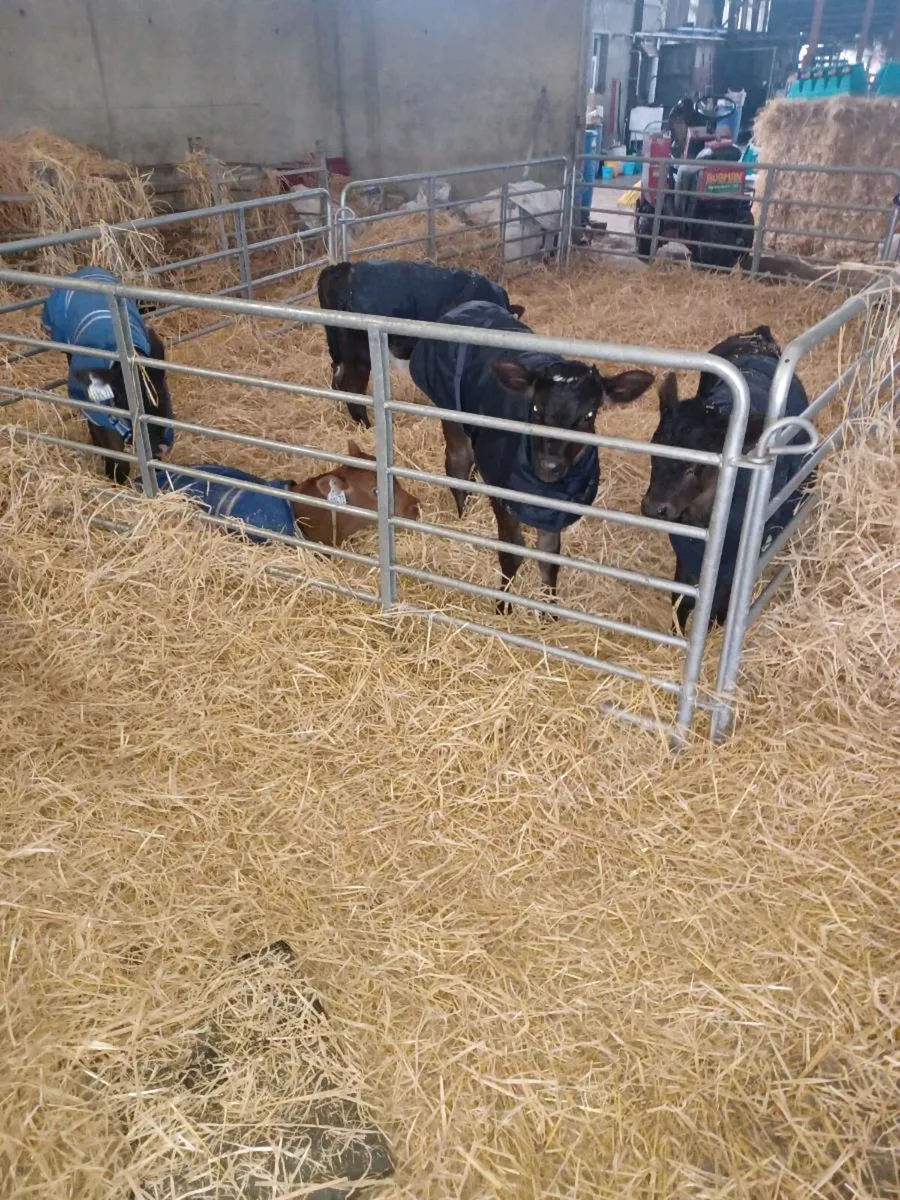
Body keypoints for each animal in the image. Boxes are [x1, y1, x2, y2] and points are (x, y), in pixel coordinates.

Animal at [41, 266, 173, 486]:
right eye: (120, 395)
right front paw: (115, 479)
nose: (161, 446)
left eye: (162, 386)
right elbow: (116, 455)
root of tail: (85, 269)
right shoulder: (94, 410)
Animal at [408, 300, 654, 611]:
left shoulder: (554, 510)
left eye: (588, 415)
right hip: (451, 415)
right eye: (535, 409)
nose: (550, 465)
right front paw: (503, 605)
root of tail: (468, 305)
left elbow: (549, 557)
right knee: (458, 466)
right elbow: (512, 551)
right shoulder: (504, 496)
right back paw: (463, 517)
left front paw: (549, 611)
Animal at [640, 325, 814, 632]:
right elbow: (682, 596)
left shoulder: (736, 558)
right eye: (655, 451)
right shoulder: (686, 548)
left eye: (695, 467)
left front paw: (713, 626)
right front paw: (677, 631)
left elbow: (721, 596)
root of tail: (758, 334)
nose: (654, 507)